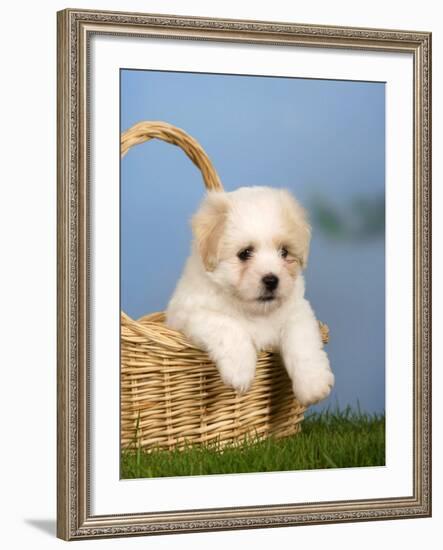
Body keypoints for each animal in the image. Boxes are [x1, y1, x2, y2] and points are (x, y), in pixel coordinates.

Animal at [166, 188, 332, 408]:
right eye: (245, 253)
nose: (271, 280)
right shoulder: (191, 313)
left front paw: (313, 384)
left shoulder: (297, 311)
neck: (255, 311)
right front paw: (240, 372)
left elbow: (302, 342)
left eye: (284, 252)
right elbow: (228, 326)